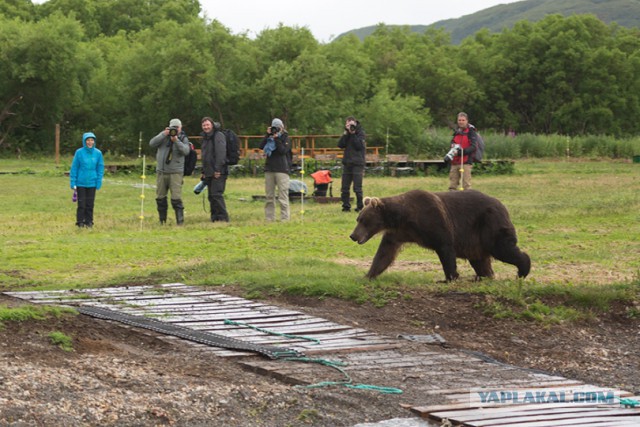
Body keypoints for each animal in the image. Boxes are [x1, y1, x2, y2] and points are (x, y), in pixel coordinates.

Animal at [350, 190, 528, 282]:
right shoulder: (398, 233)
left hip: (489, 224)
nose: (353, 235)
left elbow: (445, 247)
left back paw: (522, 271)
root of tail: (502, 205)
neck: (403, 217)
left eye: (363, 220)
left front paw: (449, 277)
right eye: (358, 219)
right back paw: (483, 276)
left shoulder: (434, 220)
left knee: (502, 247)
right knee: (480, 260)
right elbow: (384, 254)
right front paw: (368, 274)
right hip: (475, 240)